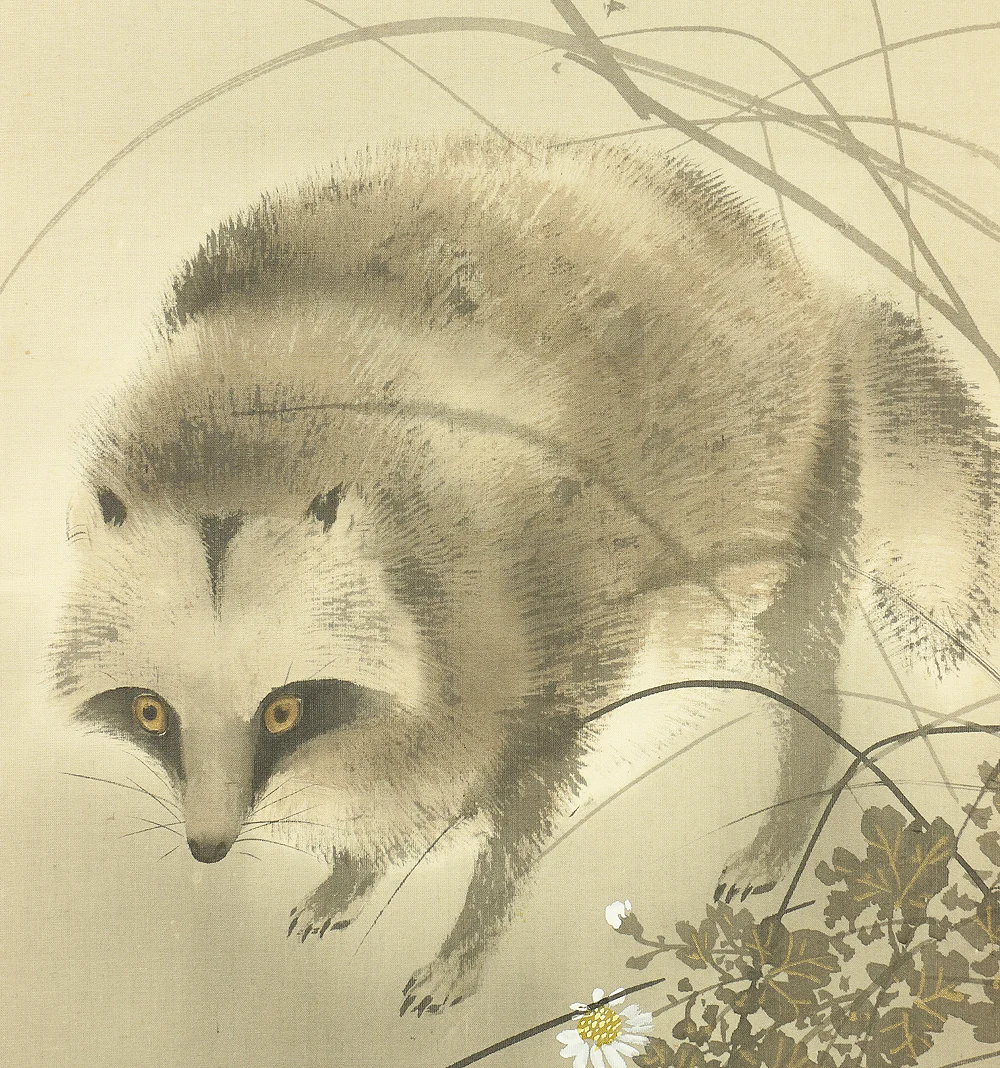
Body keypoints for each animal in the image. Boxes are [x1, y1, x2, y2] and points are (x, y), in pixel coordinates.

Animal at [50, 136, 1000, 1014]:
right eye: (151, 712)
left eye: (283, 709)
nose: (208, 846)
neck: (247, 446)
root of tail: (812, 290)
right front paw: (355, 866)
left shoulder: (552, 591)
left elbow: (518, 799)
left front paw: (466, 931)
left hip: (798, 478)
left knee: (796, 661)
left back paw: (793, 799)